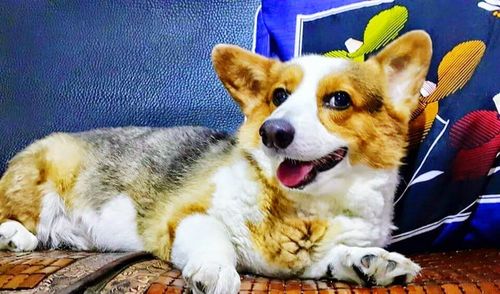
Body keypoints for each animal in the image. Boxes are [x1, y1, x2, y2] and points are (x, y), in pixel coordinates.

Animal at [0, 31, 430, 292]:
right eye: (278, 96)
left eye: (339, 100)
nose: (272, 132)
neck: (305, 211)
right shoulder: (190, 216)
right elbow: (214, 239)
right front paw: (216, 271)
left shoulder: (315, 258)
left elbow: (338, 256)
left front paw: (371, 262)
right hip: (41, 177)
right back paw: (14, 235)